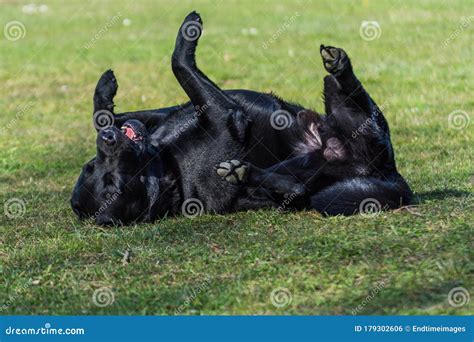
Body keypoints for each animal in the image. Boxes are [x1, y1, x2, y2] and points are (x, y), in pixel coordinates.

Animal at [70, 11, 412, 224]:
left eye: (92, 166)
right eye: (113, 186)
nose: (108, 141)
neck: (167, 164)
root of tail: (387, 174)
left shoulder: (163, 115)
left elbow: (105, 115)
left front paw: (105, 90)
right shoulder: (224, 114)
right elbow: (178, 62)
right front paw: (189, 31)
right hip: (345, 136)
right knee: (300, 190)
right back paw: (242, 172)